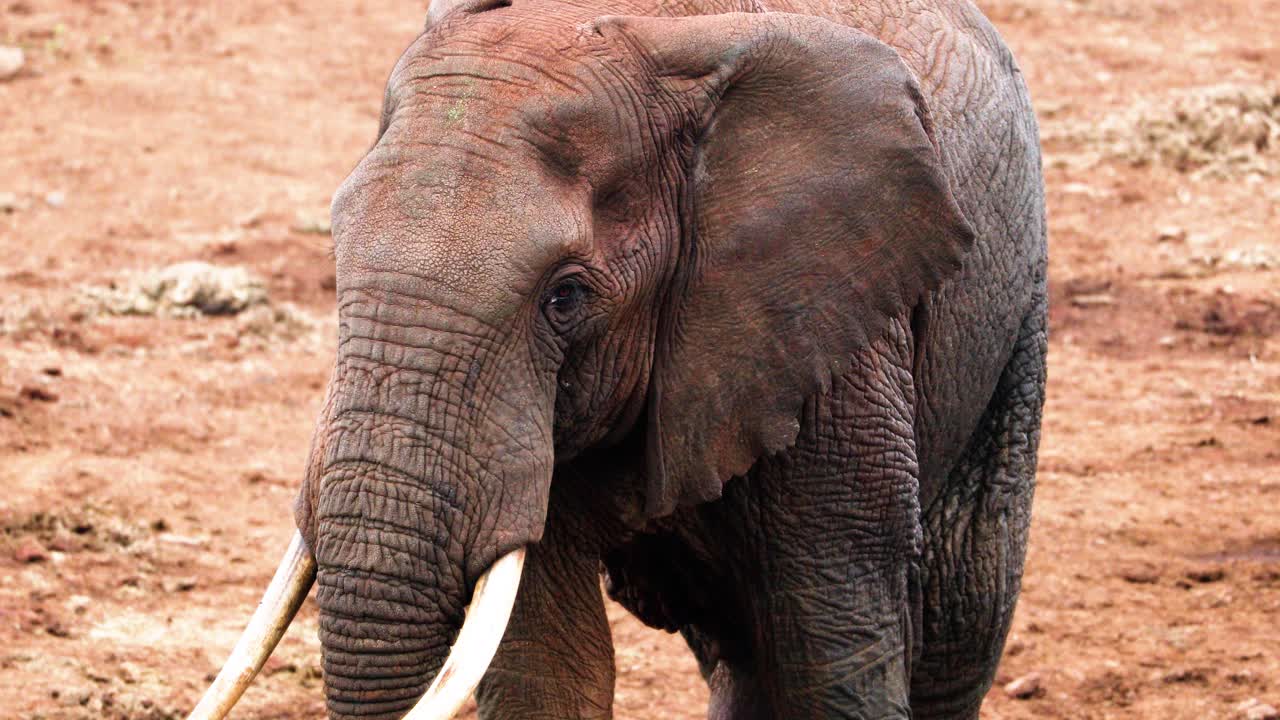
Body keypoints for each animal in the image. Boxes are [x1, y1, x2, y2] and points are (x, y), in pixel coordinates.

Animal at [186, 0, 1046, 718]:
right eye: (335, 252)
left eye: (564, 298)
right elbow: (546, 667)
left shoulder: (834, 333)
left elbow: (833, 652)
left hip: (1015, 309)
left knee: (958, 618)